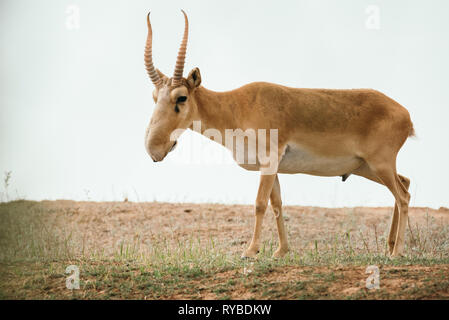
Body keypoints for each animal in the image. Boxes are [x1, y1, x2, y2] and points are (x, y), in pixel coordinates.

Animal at [143, 11, 412, 258]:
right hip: (366, 167)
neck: (236, 106)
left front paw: (250, 250)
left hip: (379, 165)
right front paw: (281, 251)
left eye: (181, 97)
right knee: (405, 184)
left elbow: (260, 204)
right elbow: (277, 204)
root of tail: (405, 115)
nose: (154, 149)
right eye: (155, 97)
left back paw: (396, 253)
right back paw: (389, 247)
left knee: (403, 196)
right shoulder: (271, 167)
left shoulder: (269, 161)